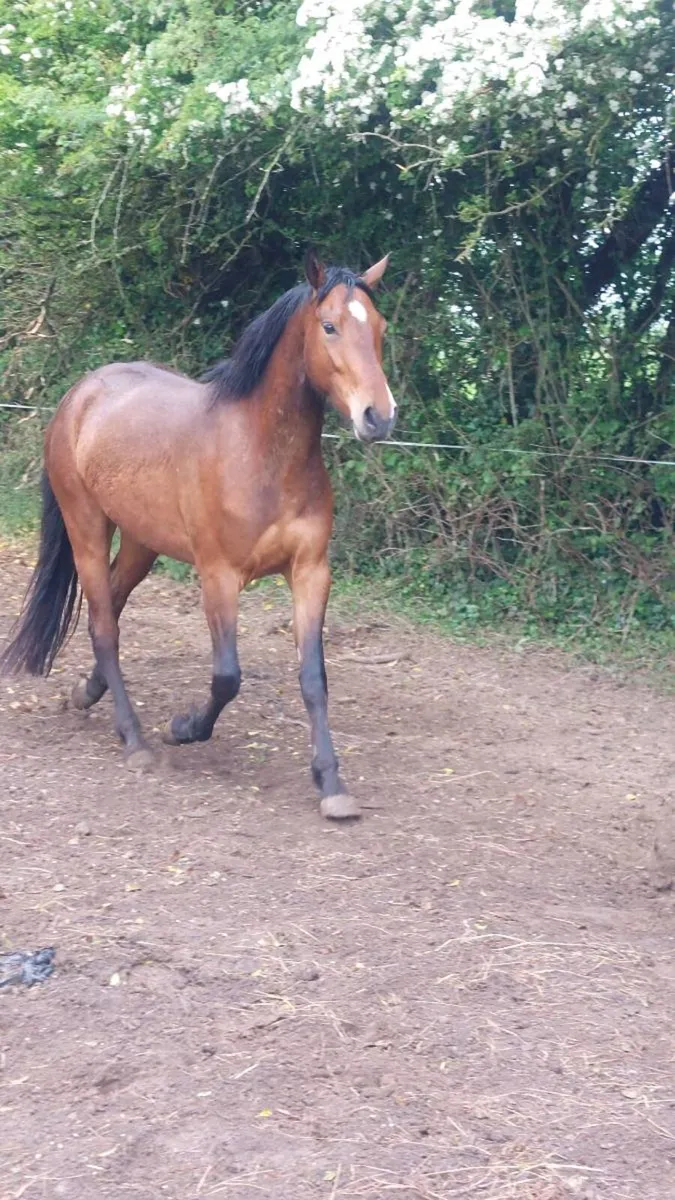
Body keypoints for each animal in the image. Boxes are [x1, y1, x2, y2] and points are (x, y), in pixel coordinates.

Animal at [1, 251, 396, 819]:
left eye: (380, 328)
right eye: (329, 326)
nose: (378, 417)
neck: (262, 454)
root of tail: (81, 394)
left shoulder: (311, 573)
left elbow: (314, 678)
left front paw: (331, 784)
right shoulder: (218, 576)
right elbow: (227, 676)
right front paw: (182, 728)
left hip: (141, 545)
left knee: (111, 608)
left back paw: (86, 693)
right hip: (87, 532)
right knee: (105, 627)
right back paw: (136, 741)